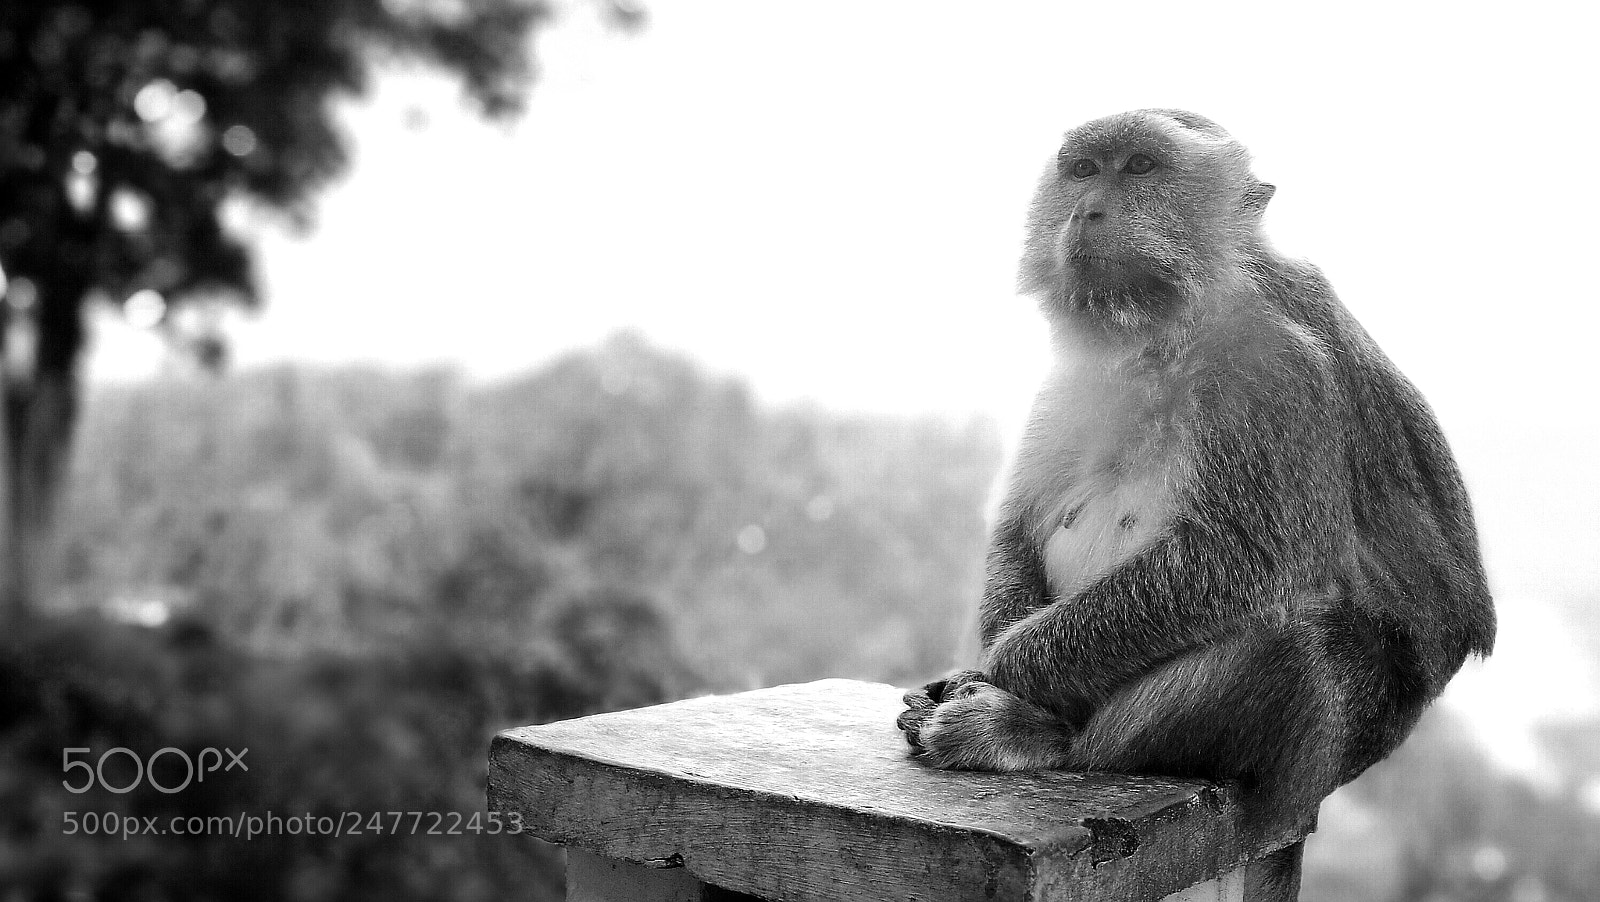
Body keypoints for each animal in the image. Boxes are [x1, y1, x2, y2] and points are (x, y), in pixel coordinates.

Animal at [895, 109, 1495, 839]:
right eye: (1084, 170)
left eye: (1141, 167)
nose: (1088, 210)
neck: (1158, 336)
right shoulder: (1072, 377)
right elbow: (1019, 530)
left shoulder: (1274, 369)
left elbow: (1236, 559)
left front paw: (999, 671)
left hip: (1309, 757)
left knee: (1292, 645)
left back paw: (1036, 734)